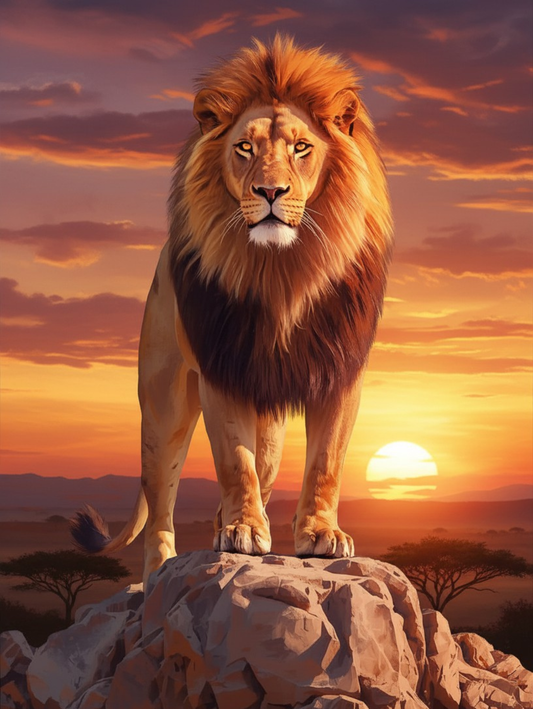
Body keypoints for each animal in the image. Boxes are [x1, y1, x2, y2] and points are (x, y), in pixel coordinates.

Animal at [71, 35, 393, 587]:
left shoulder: (340, 369)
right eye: (245, 148)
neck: (284, 272)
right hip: (163, 409)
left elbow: (326, 462)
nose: (270, 192)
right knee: (161, 507)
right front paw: (242, 533)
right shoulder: (222, 366)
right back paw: (162, 570)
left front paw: (321, 535)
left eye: (301, 148)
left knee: (263, 471)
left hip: (270, 432)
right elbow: (233, 462)